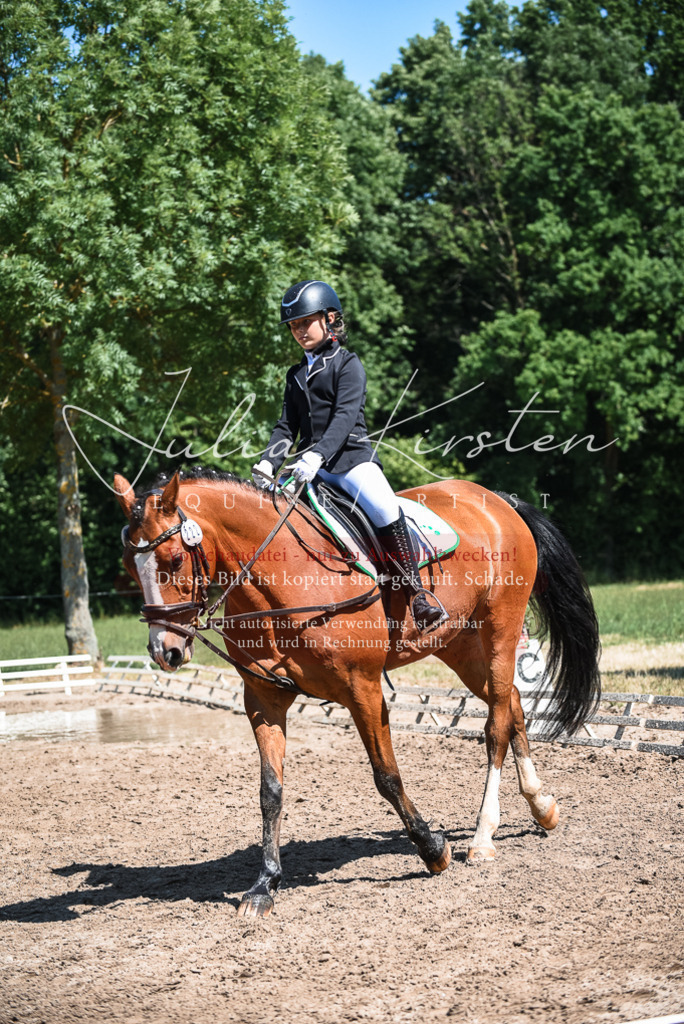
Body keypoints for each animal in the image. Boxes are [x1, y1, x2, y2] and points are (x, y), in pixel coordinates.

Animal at [114, 468, 600, 918]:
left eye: (175, 559)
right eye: (129, 567)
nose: (165, 651)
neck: (280, 581)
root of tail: (497, 499)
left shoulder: (362, 688)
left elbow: (386, 776)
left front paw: (432, 849)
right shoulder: (263, 699)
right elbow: (270, 790)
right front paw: (264, 885)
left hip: (501, 628)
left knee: (497, 723)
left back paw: (483, 837)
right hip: (459, 644)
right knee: (512, 702)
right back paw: (542, 806)